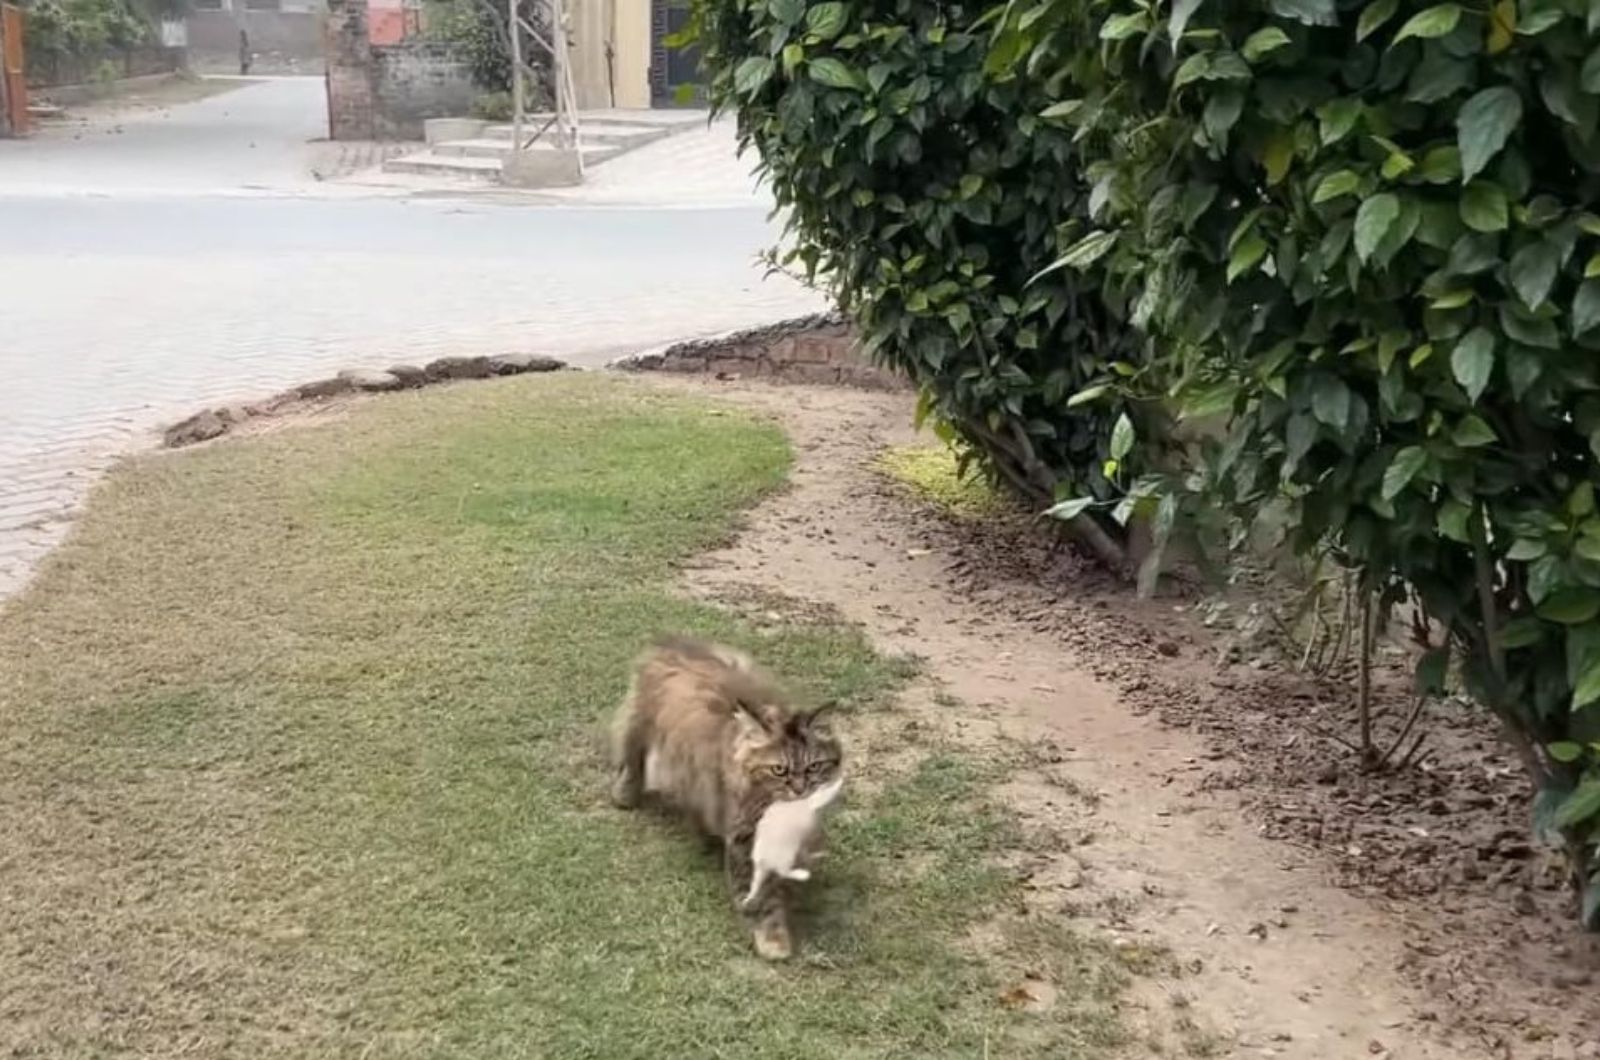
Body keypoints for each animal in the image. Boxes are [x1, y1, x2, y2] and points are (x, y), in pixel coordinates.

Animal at [608, 634, 844, 967]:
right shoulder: (746, 838)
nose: (800, 789)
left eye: (813, 767)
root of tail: (671, 642)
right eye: (779, 770)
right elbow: (762, 896)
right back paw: (625, 794)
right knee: (631, 758)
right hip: (641, 725)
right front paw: (771, 937)